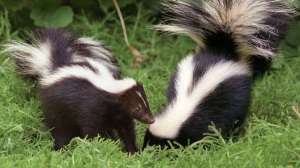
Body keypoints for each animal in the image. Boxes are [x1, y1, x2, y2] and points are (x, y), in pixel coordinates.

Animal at [4, 29, 155, 154]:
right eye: (137, 108)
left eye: (146, 104)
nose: (151, 119)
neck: (110, 91)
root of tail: (55, 67)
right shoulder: (92, 108)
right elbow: (94, 131)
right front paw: (106, 146)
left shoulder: (121, 115)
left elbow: (126, 131)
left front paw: (132, 151)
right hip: (56, 108)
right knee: (60, 129)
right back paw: (61, 149)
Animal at [144, 0, 296, 148]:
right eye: (147, 139)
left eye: (159, 144)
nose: (144, 150)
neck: (182, 111)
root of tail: (222, 51)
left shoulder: (203, 118)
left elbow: (208, 131)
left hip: (238, 94)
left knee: (239, 113)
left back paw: (236, 131)